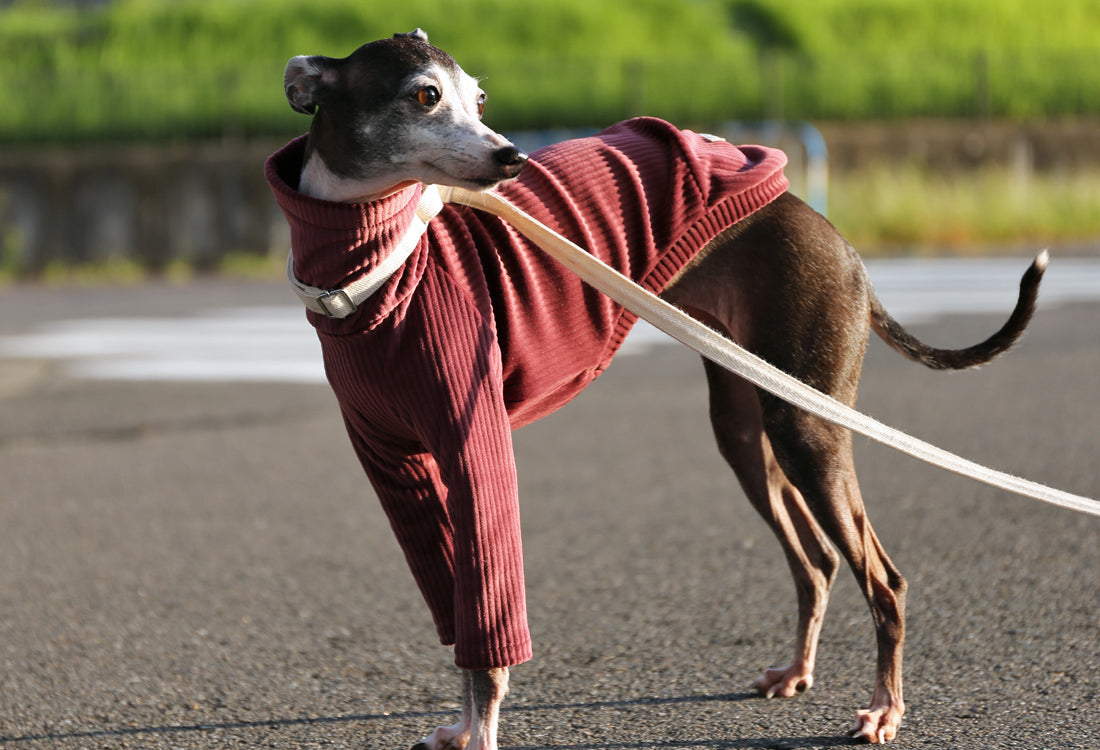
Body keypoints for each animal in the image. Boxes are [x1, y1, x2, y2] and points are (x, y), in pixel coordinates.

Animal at [268, 27, 1047, 743]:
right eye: (425, 95)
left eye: (479, 99)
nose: (512, 157)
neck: (376, 269)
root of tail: (838, 239)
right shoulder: (400, 469)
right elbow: (461, 618)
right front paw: (462, 728)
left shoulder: (476, 451)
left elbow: (489, 632)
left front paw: (480, 729)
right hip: (745, 428)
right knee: (819, 560)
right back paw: (797, 670)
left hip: (807, 429)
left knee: (883, 576)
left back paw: (885, 708)